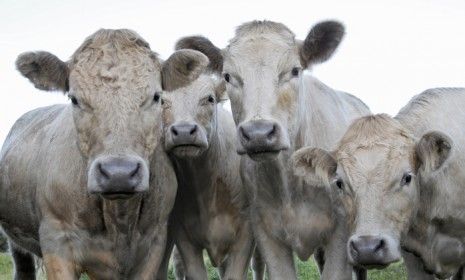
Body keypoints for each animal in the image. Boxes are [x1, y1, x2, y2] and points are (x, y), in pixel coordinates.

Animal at [0, 29, 208, 280]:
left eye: (156, 97)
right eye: (75, 99)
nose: (119, 173)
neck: (119, 219)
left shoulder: (155, 243)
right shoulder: (57, 241)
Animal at [174, 20, 370, 280]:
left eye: (295, 70)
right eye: (228, 76)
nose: (258, 133)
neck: (293, 182)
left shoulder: (340, 234)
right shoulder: (265, 232)